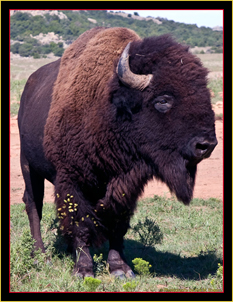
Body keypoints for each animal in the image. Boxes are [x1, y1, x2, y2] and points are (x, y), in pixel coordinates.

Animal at [17, 27, 217, 278]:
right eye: (163, 100)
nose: (206, 144)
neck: (109, 108)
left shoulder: (126, 185)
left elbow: (117, 224)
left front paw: (120, 268)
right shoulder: (71, 180)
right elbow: (80, 223)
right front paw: (84, 270)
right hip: (27, 164)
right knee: (33, 204)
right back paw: (40, 256)